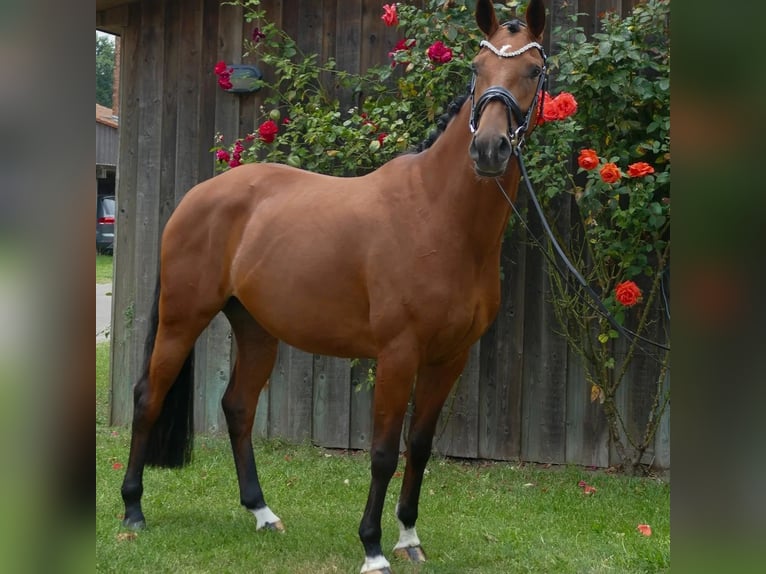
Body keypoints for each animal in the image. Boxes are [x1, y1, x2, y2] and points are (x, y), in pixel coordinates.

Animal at [123, 1, 548, 572]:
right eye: (477, 69)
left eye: (533, 71)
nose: (488, 150)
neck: (438, 215)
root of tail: (195, 196)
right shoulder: (398, 354)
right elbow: (384, 452)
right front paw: (372, 547)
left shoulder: (449, 358)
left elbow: (420, 445)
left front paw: (409, 537)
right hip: (181, 319)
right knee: (148, 396)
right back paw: (133, 511)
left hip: (256, 330)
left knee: (237, 407)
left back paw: (262, 512)